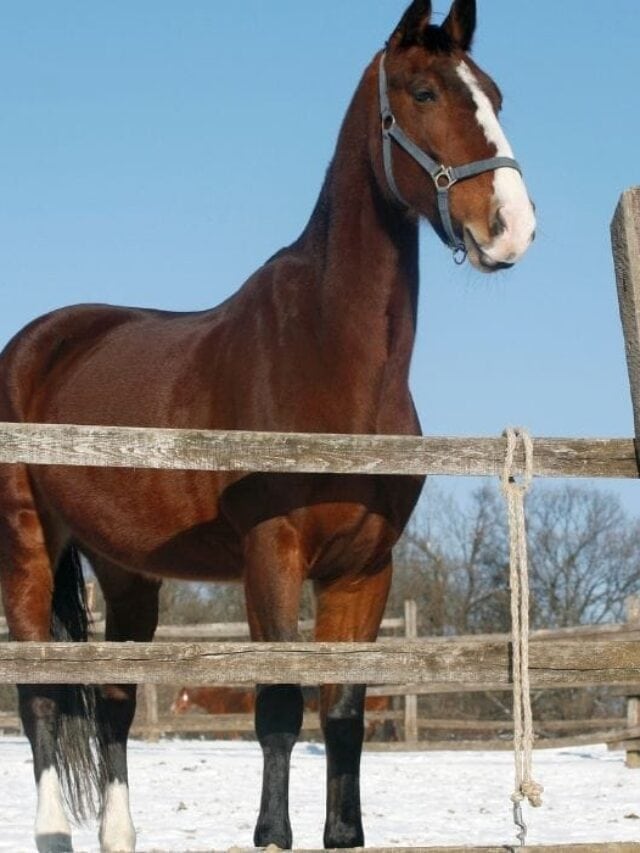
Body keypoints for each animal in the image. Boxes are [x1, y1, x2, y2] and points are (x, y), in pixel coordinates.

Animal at [0, 1, 535, 850]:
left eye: (495, 95)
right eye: (423, 93)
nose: (511, 226)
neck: (328, 359)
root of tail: (35, 342)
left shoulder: (364, 569)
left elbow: (342, 711)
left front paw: (343, 831)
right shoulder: (270, 556)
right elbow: (281, 705)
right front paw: (272, 831)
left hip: (126, 571)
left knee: (115, 699)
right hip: (26, 543)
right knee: (40, 694)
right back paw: (53, 829)